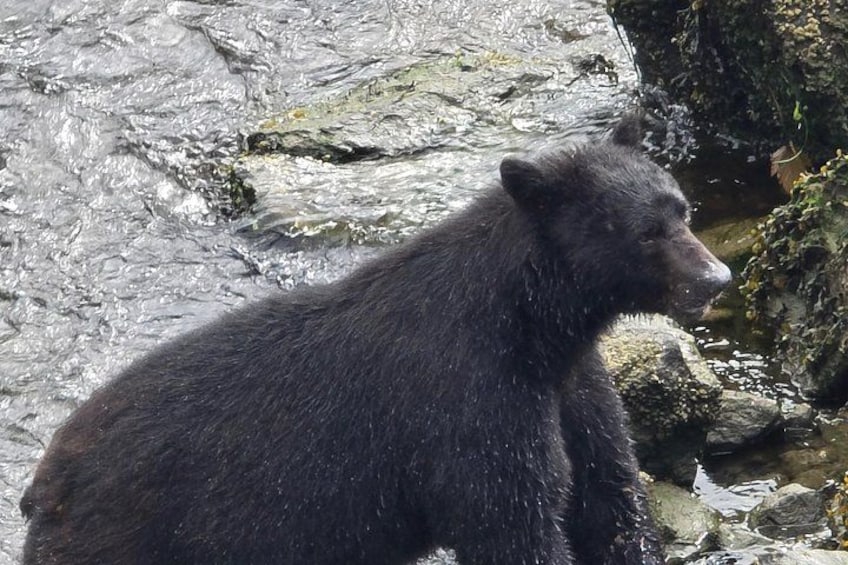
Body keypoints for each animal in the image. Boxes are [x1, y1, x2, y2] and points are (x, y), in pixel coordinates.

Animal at [20, 117, 731, 565]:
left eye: (681, 206)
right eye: (644, 231)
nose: (716, 278)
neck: (533, 326)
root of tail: (42, 484)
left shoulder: (573, 381)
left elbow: (608, 494)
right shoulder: (470, 402)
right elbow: (512, 517)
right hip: (132, 536)